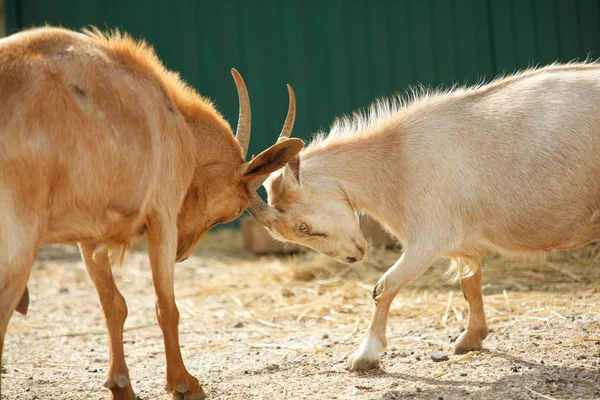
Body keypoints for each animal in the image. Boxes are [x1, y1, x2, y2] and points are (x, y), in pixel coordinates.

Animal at [0, 26, 300, 398]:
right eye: (236, 209)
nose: (182, 254)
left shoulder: (89, 233)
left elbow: (114, 304)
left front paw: (121, 385)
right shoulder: (162, 218)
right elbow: (166, 307)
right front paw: (184, 384)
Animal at [246, 63, 600, 372]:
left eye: (302, 226)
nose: (353, 255)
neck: (395, 158)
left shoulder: (427, 239)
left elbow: (384, 287)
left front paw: (364, 356)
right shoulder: (461, 239)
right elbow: (470, 282)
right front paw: (470, 339)